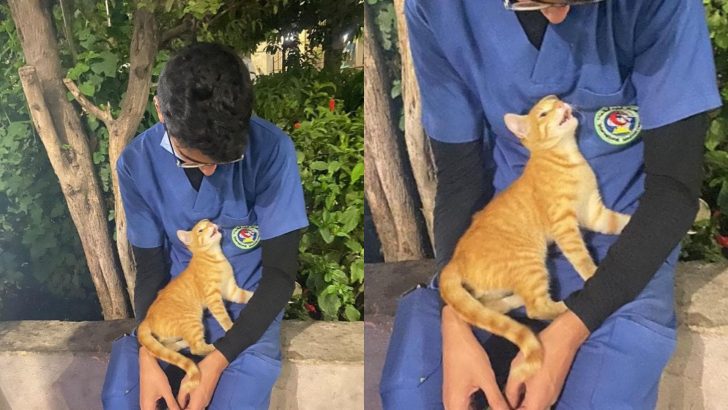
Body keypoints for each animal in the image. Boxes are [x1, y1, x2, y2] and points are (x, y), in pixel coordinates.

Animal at [138, 219, 255, 392]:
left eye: (210, 222)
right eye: (201, 230)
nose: (213, 225)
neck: (214, 258)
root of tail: (147, 318)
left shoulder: (231, 290)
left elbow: (245, 296)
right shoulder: (214, 299)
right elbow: (224, 318)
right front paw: (230, 327)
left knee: (166, 347)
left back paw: (183, 343)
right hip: (193, 321)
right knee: (196, 348)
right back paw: (214, 346)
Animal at [438, 94, 632, 382]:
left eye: (557, 100)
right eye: (543, 114)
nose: (562, 104)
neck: (567, 159)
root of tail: (455, 260)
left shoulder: (593, 213)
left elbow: (620, 221)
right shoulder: (565, 226)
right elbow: (581, 258)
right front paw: (592, 274)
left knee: (491, 305)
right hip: (530, 264)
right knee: (536, 308)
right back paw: (566, 306)